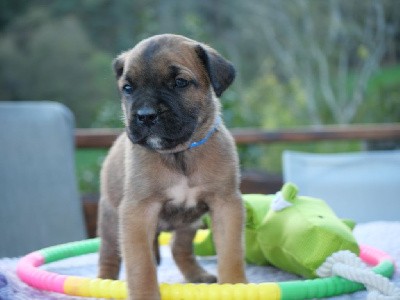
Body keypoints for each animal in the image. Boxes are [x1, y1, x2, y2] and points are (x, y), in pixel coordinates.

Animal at [97, 34, 247, 298]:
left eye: (180, 82)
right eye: (128, 88)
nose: (145, 116)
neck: (180, 155)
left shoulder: (225, 204)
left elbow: (231, 253)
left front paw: (235, 286)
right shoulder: (137, 213)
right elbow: (141, 265)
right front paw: (145, 295)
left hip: (189, 223)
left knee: (179, 248)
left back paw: (197, 276)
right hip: (110, 220)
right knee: (109, 255)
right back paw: (104, 281)